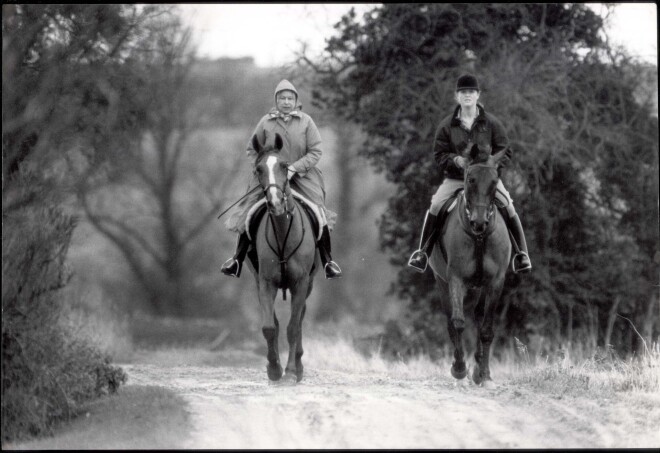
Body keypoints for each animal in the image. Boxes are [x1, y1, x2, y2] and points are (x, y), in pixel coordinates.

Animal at [248, 132, 320, 384]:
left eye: (284, 166)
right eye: (258, 169)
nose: (276, 202)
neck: (282, 231)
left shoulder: (301, 283)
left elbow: (293, 328)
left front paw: (289, 372)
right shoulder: (265, 283)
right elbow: (270, 327)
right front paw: (274, 369)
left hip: (309, 284)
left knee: (299, 320)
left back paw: (297, 366)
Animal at [426, 143, 512, 386]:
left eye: (494, 181)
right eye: (470, 179)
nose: (479, 222)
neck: (479, 237)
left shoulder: (495, 283)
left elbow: (486, 330)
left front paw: (484, 373)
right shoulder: (455, 279)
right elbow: (457, 323)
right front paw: (459, 368)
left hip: (480, 288)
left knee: (479, 317)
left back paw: (480, 368)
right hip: (443, 282)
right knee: (452, 322)